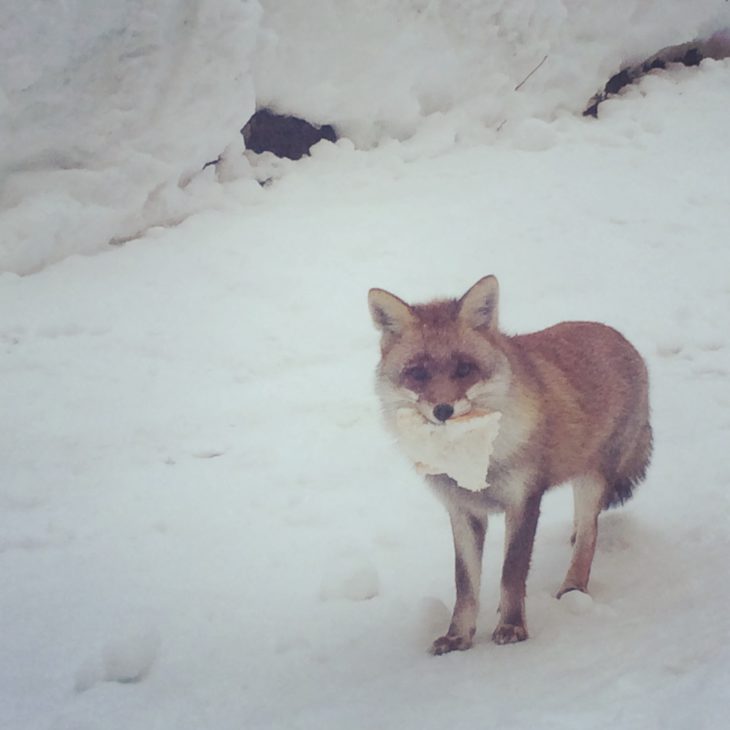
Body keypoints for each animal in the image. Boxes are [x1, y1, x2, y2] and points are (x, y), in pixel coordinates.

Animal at [366, 276, 652, 652]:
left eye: (464, 368)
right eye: (418, 373)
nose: (443, 410)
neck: (476, 457)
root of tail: (621, 339)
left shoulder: (524, 499)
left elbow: (512, 573)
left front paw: (513, 626)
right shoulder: (463, 511)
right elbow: (465, 584)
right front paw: (458, 636)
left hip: (591, 479)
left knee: (590, 535)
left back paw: (573, 587)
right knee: (583, 526)